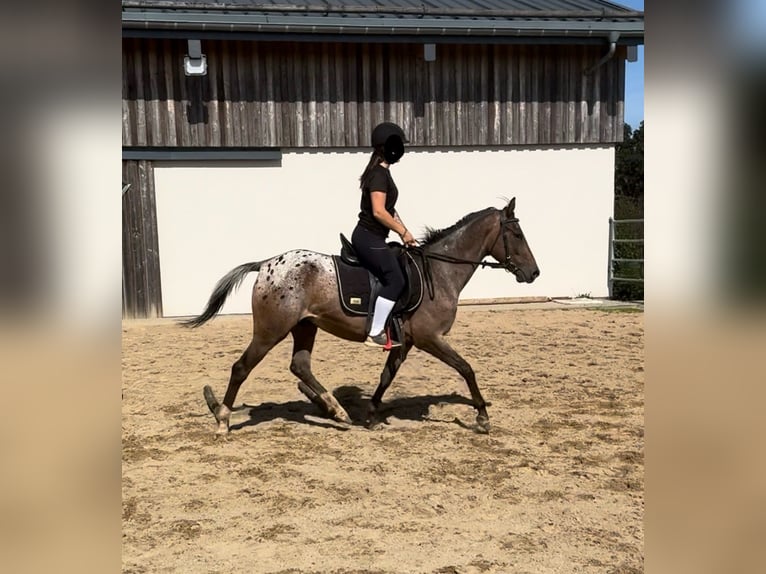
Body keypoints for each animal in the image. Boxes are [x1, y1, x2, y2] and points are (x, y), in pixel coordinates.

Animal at [182, 199, 540, 436]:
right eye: (518, 235)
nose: (534, 273)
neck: (439, 272)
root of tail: (267, 264)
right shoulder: (430, 338)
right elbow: (466, 368)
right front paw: (482, 417)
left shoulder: (406, 342)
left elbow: (386, 377)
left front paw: (369, 413)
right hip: (271, 330)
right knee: (241, 368)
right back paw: (223, 420)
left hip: (304, 327)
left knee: (300, 366)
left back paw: (338, 411)